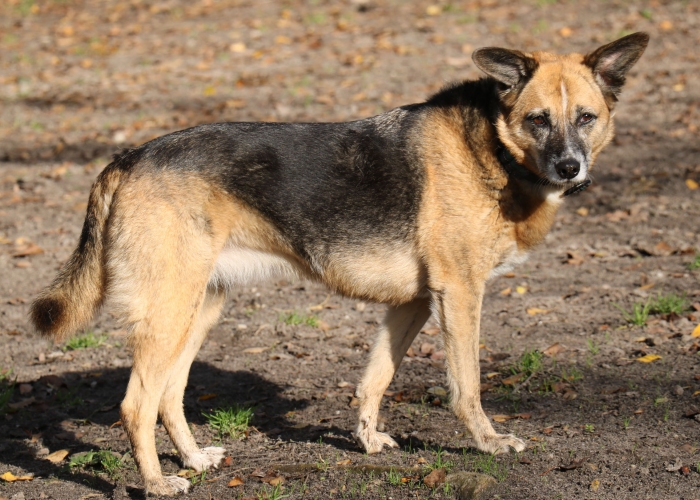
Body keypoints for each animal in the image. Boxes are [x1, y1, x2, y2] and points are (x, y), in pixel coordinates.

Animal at [31, 32, 644, 496]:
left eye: (585, 118)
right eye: (538, 120)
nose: (570, 168)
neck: (491, 148)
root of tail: (128, 158)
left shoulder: (414, 304)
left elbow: (375, 379)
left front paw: (368, 441)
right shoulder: (460, 295)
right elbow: (466, 386)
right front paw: (488, 442)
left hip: (196, 310)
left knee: (169, 395)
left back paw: (193, 460)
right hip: (169, 314)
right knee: (137, 404)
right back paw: (157, 483)